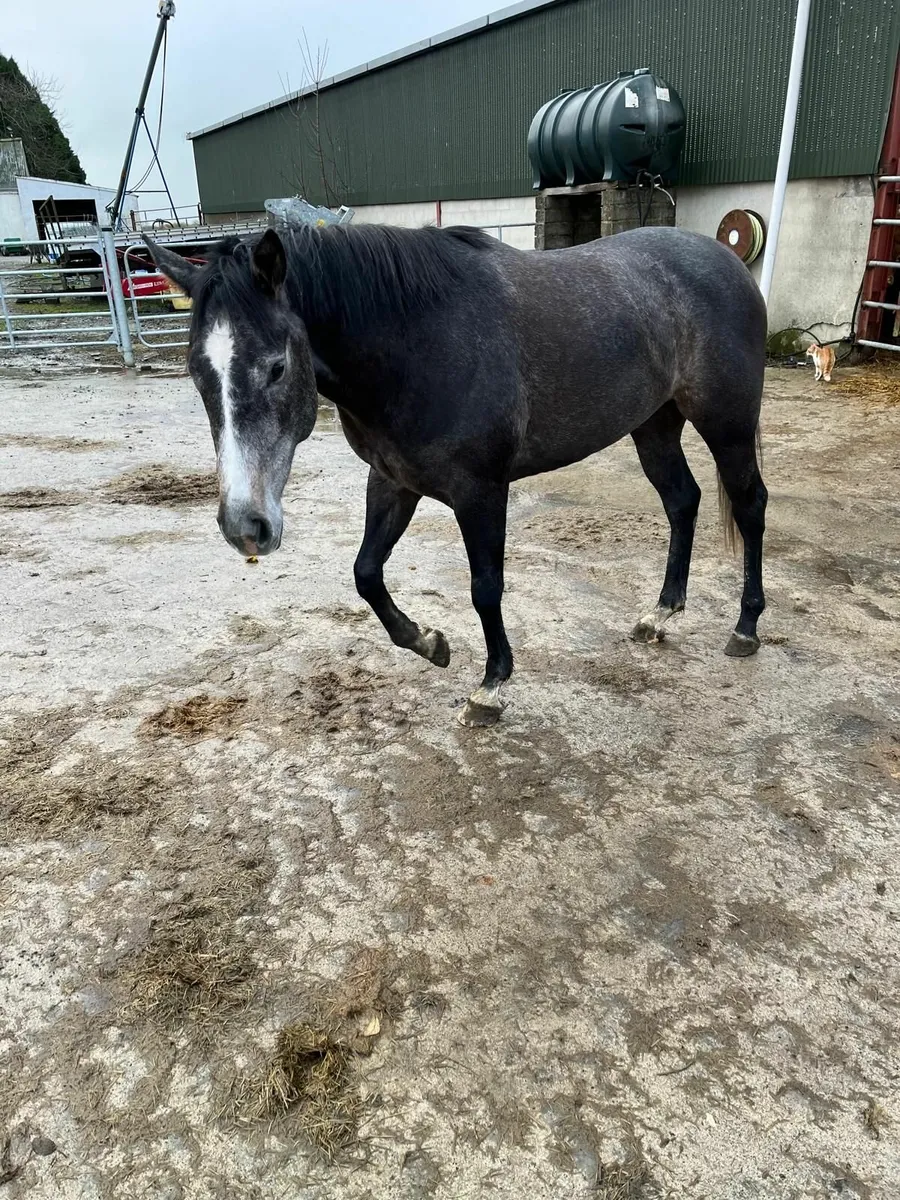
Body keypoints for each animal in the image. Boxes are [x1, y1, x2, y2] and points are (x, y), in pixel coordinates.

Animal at [145, 222, 768, 727]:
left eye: (276, 367)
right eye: (196, 372)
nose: (244, 527)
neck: (417, 343)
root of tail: (727, 261)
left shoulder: (482, 493)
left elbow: (484, 588)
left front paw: (490, 688)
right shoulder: (393, 481)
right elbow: (365, 573)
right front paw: (428, 642)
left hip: (727, 425)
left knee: (750, 505)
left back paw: (745, 628)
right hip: (654, 425)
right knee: (682, 501)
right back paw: (660, 614)